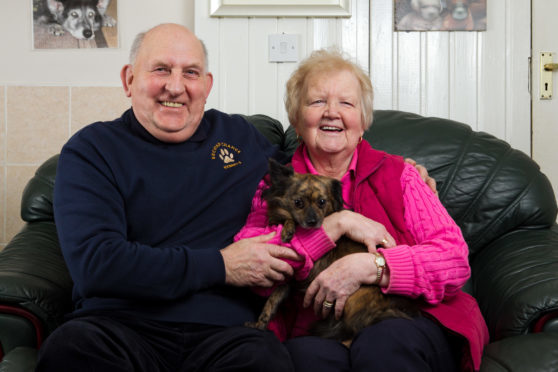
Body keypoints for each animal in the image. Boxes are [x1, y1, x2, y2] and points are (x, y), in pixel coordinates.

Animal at [247, 159, 418, 342]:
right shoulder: (289, 280)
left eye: (322, 202)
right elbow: (272, 301)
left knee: (355, 329)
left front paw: (288, 229)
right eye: (298, 202)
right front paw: (260, 323)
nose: (313, 221)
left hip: (353, 300)